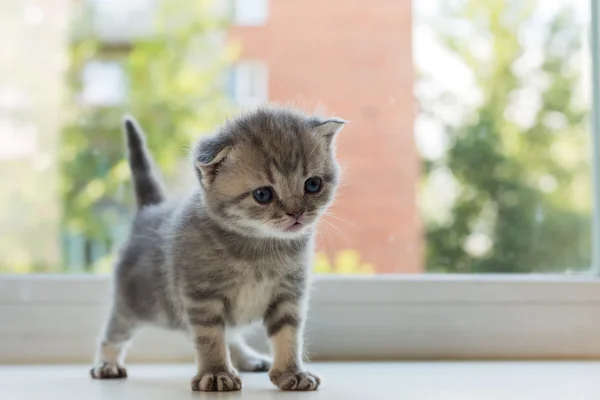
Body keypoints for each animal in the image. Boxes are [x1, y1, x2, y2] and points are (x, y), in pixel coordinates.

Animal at [88, 106, 342, 390]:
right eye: (263, 195)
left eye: (313, 184)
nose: (296, 212)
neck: (258, 247)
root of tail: (150, 211)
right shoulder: (201, 297)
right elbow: (210, 337)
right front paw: (217, 372)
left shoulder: (289, 295)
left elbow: (288, 335)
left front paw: (291, 373)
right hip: (134, 302)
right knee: (114, 331)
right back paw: (107, 363)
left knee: (230, 333)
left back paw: (248, 358)